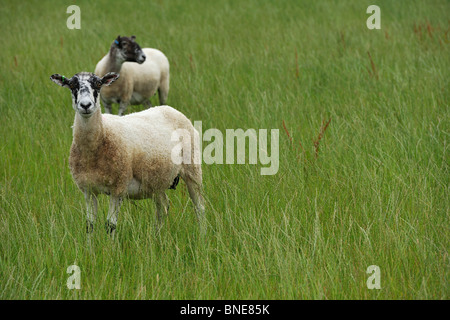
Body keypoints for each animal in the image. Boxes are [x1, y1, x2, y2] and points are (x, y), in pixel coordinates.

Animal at [49, 70, 204, 235]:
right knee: (163, 206)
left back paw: (203, 235)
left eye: (98, 84)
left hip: (192, 170)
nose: (85, 105)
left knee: (199, 207)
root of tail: (171, 109)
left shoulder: (118, 188)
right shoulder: (88, 190)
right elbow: (89, 225)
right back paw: (158, 236)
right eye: (72, 85)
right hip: (155, 181)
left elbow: (110, 225)